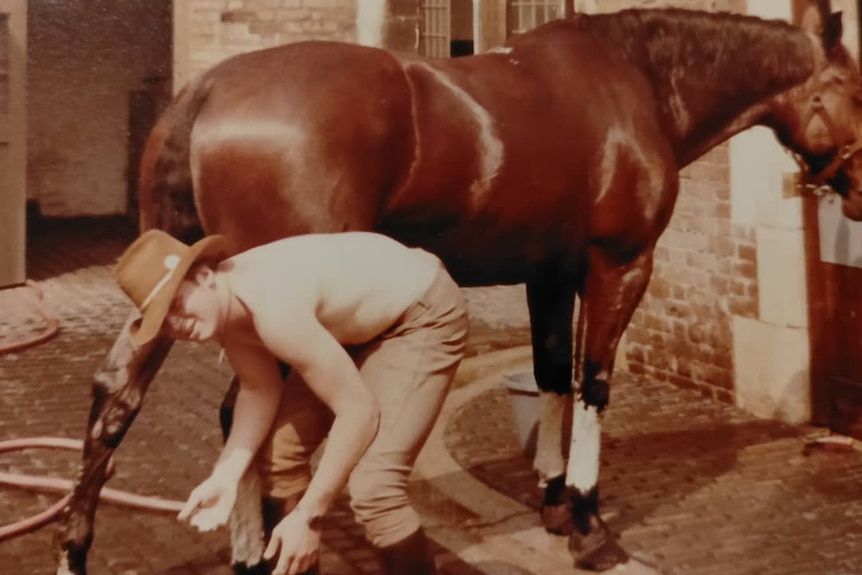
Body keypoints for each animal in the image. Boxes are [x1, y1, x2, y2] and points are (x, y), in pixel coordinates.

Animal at [57, 2, 862, 572]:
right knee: (240, 413)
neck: (636, 84)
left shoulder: (550, 274)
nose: (855, 193)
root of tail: (209, 86)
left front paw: (552, 501)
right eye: (852, 88)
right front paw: (588, 522)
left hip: (176, 290)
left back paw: (81, 545)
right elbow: (594, 384)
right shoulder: (620, 265)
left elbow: (551, 378)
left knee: (118, 397)